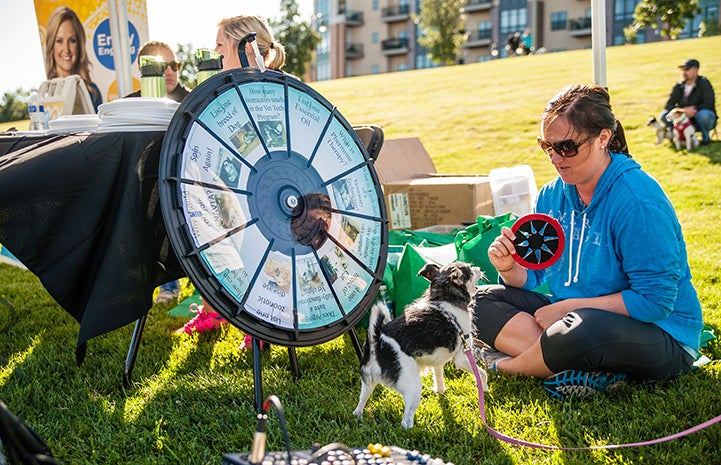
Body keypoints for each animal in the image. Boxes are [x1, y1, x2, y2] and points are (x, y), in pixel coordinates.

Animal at [352, 260, 486, 428]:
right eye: (470, 271)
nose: (480, 268)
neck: (445, 298)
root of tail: (377, 342)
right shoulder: (463, 356)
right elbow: (482, 374)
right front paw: (485, 391)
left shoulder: (437, 362)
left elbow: (439, 377)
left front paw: (441, 392)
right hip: (413, 386)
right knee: (406, 421)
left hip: (368, 382)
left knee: (360, 403)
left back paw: (358, 416)